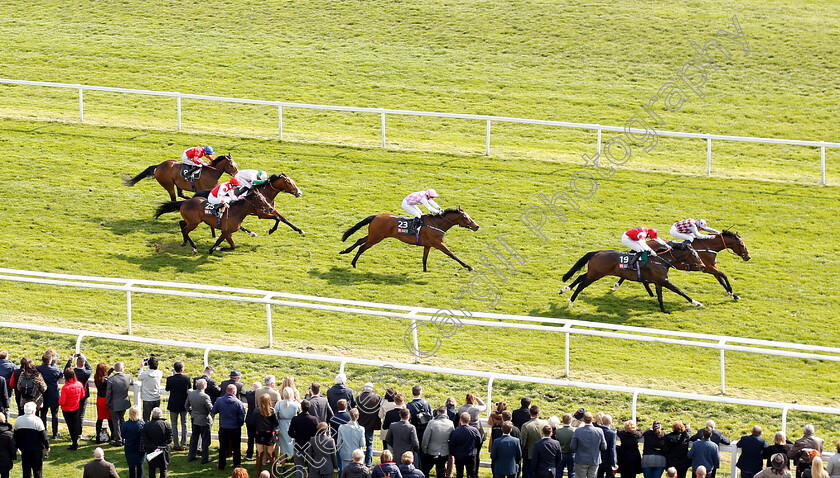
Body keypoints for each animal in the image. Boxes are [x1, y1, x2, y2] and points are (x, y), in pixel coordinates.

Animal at [155, 172, 306, 254]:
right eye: (290, 183)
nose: (299, 193)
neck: (266, 192)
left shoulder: (270, 208)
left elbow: (283, 219)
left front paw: (300, 230)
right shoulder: (261, 213)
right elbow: (277, 219)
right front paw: (271, 230)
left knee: (184, 224)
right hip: (195, 221)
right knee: (187, 226)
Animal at [340, 207, 480, 270]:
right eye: (466, 218)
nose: (476, 226)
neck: (437, 224)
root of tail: (375, 216)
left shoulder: (428, 245)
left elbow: (424, 259)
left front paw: (424, 271)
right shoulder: (438, 244)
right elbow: (452, 255)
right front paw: (468, 266)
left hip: (374, 235)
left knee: (359, 240)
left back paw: (344, 251)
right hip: (376, 238)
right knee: (362, 247)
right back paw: (354, 263)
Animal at [560, 243, 704, 314]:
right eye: (694, 255)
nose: (702, 266)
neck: (661, 261)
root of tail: (597, 252)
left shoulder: (659, 282)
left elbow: (660, 297)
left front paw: (663, 311)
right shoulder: (664, 281)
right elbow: (680, 291)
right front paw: (696, 303)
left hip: (594, 273)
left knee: (580, 277)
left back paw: (565, 289)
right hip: (596, 274)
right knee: (581, 285)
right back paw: (571, 301)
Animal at [612, 231, 748, 298]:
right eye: (742, 244)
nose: (748, 256)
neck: (708, 246)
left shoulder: (712, 267)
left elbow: (721, 279)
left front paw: (733, 294)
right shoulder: (708, 268)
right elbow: (724, 275)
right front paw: (732, 293)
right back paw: (615, 286)